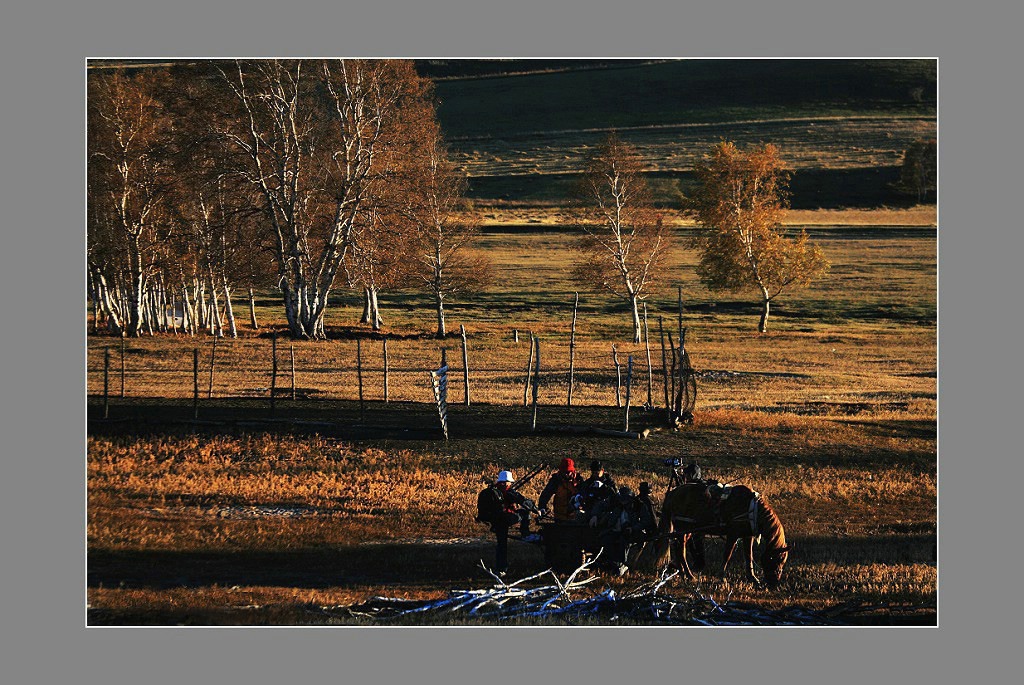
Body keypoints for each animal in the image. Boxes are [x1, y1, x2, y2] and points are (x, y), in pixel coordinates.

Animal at [655, 481, 790, 589]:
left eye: (782, 562)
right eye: (775, 560)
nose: (773, 584)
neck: (750, 509)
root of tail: (673, 493)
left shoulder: (747, 536)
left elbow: (748, 556)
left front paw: (753, 578)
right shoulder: (733, 535)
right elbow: (727, 555)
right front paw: (722, 577)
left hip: (688, 530)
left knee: (678, 549)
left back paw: (682, 572)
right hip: (682, 528)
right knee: (681, 550)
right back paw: (688, 575)